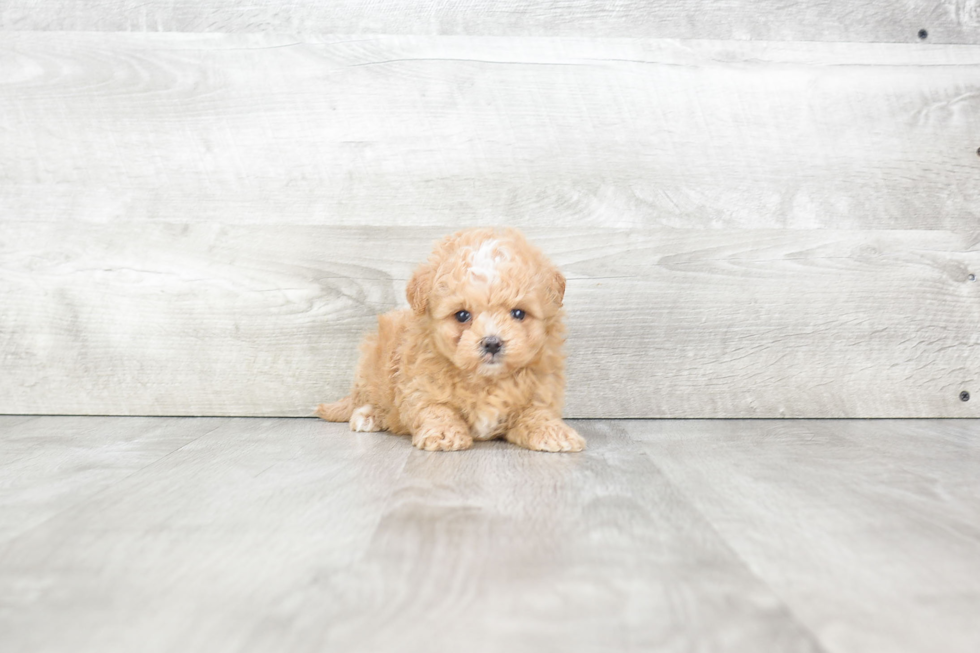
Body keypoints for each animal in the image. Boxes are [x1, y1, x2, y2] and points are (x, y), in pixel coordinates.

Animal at [318, 227, 584, 450]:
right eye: (462, 315)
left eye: (518, 313)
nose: (492, 343)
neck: (486, 380)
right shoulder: (419, 386)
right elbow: (436, 409)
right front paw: (445, 433)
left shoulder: (540, 390)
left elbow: (537, 412)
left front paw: (553, 432)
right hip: (372, 368)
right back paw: (368, 415)